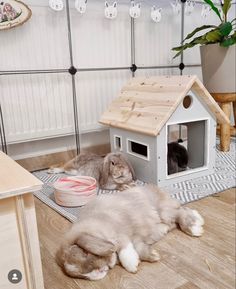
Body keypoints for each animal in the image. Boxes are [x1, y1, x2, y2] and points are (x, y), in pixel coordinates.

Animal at [56, 184, 204, 280]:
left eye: (85, 252)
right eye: (80, 275)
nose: (98, 271)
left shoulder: (120, 234)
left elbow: (124, 248)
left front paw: (131, 264)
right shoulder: (136, 239)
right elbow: (139, 248)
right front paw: (152, 256)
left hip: (164, 211)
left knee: (180, 213)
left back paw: (195, 228)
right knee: (181, 213)